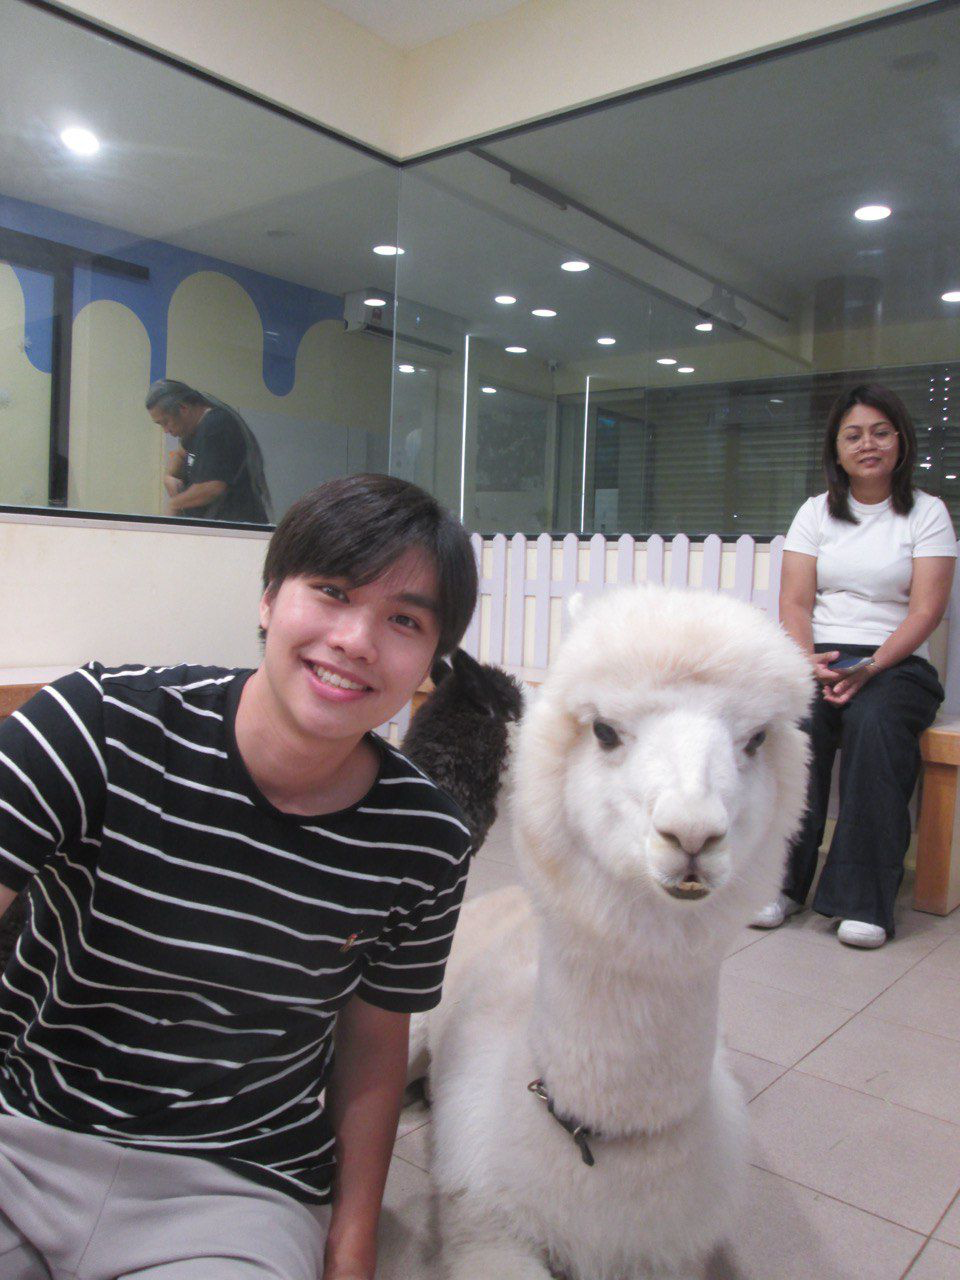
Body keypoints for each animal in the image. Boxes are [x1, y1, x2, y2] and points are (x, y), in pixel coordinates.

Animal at [417, 585, 812, 1280]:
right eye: (603, 730)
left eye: (758, 738)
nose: (691, 835)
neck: (596, 1145)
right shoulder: (488, 1231)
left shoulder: (669, 1255)